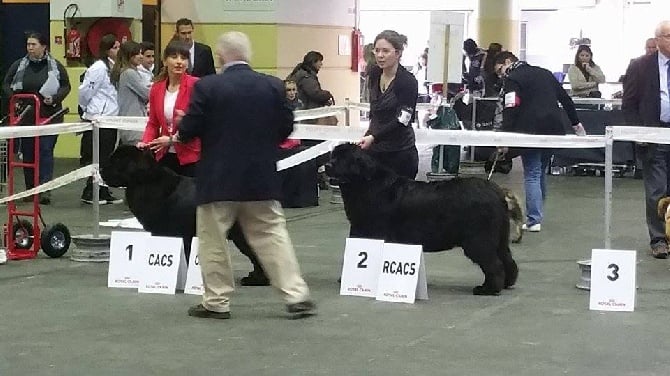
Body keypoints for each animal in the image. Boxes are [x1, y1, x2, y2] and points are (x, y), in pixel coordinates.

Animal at [328, 142, 524, 296]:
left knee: (494, 264)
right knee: (507, 259)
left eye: (343, 159)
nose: (328, 165)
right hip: (498, 237)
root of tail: (495, 191)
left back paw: (488, 289)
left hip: (478, 239)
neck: (366, 183)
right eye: (333, 155)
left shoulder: (369, 231)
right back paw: (506, 284)